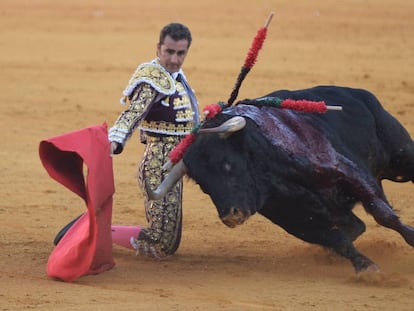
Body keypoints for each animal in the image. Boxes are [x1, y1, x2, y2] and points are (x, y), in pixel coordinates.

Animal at [149, 85, 414, 272]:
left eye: (227, 165)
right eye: (204, 186)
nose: (231, 216)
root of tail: (356, 92)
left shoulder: (350, 173)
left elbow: (384, 216)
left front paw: (410, 238)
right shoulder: (293, 218)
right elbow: (336, 238)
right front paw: (365, 267)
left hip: (401, 158)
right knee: (355, 226)